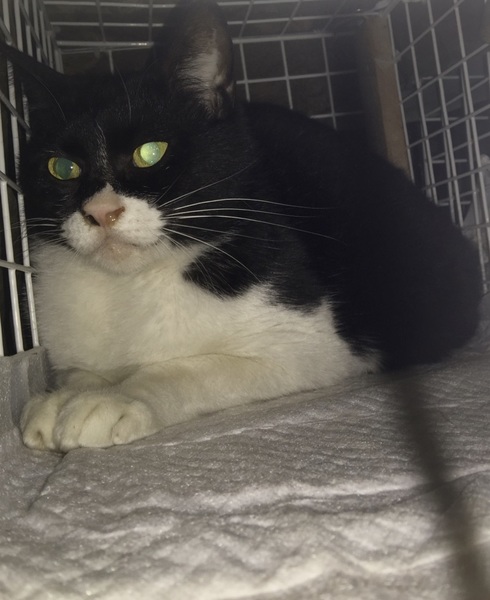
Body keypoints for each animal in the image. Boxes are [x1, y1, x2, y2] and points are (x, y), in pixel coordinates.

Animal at [0, 1, 480, 452]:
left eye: (151, 151)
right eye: (62, 168)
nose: (101, 212)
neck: (130, 287)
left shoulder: (313, 345)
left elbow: (191, 368)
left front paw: (114, 399)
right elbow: (81, 370)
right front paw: (61, 398)